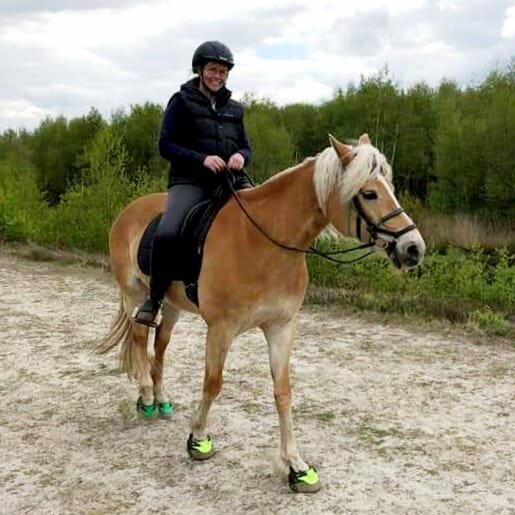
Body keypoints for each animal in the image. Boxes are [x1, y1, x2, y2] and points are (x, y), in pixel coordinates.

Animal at [99, 135, 426, 494]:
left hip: (170, 306)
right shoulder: (221, 330)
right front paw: (198, 439)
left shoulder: (281, 327)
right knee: (140, 337)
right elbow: (212, 384)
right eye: (369, 193)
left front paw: (296, 466)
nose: (414, 249)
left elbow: (283, 393)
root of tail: (129, 210)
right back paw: (145, 398)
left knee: (159, 346)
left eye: (390, 187)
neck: (266, 243)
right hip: (135, 294)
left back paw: (161, 399)